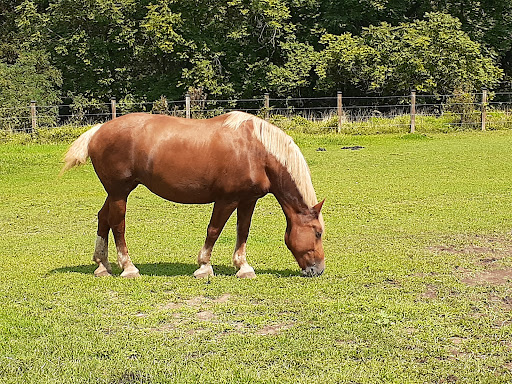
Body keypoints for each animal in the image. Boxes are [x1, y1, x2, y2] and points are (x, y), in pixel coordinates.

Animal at [61, 111, 324, 280]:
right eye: (318, 233)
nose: (318, 270)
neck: (257, 152)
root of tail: (98, 131)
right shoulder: (226, 200)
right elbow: (214, 230)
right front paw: (204, 266)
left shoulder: (248, 200)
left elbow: (243, 231)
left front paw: (243, 267)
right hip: (119, 192)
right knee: (117, 224)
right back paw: (128, 268)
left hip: (115, 192)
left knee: (102, 218)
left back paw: (102, 266)